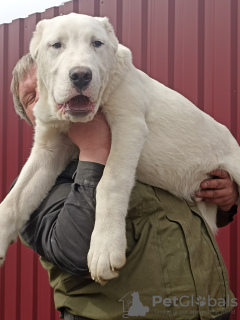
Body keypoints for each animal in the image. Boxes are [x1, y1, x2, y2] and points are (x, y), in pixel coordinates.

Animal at [0, 13, 240, 284]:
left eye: (97, 43)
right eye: (56, 45)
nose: (81, 75)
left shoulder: (129, 125)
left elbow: (110, 182)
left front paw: (104, 249)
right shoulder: (49, 148)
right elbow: (16, 197)